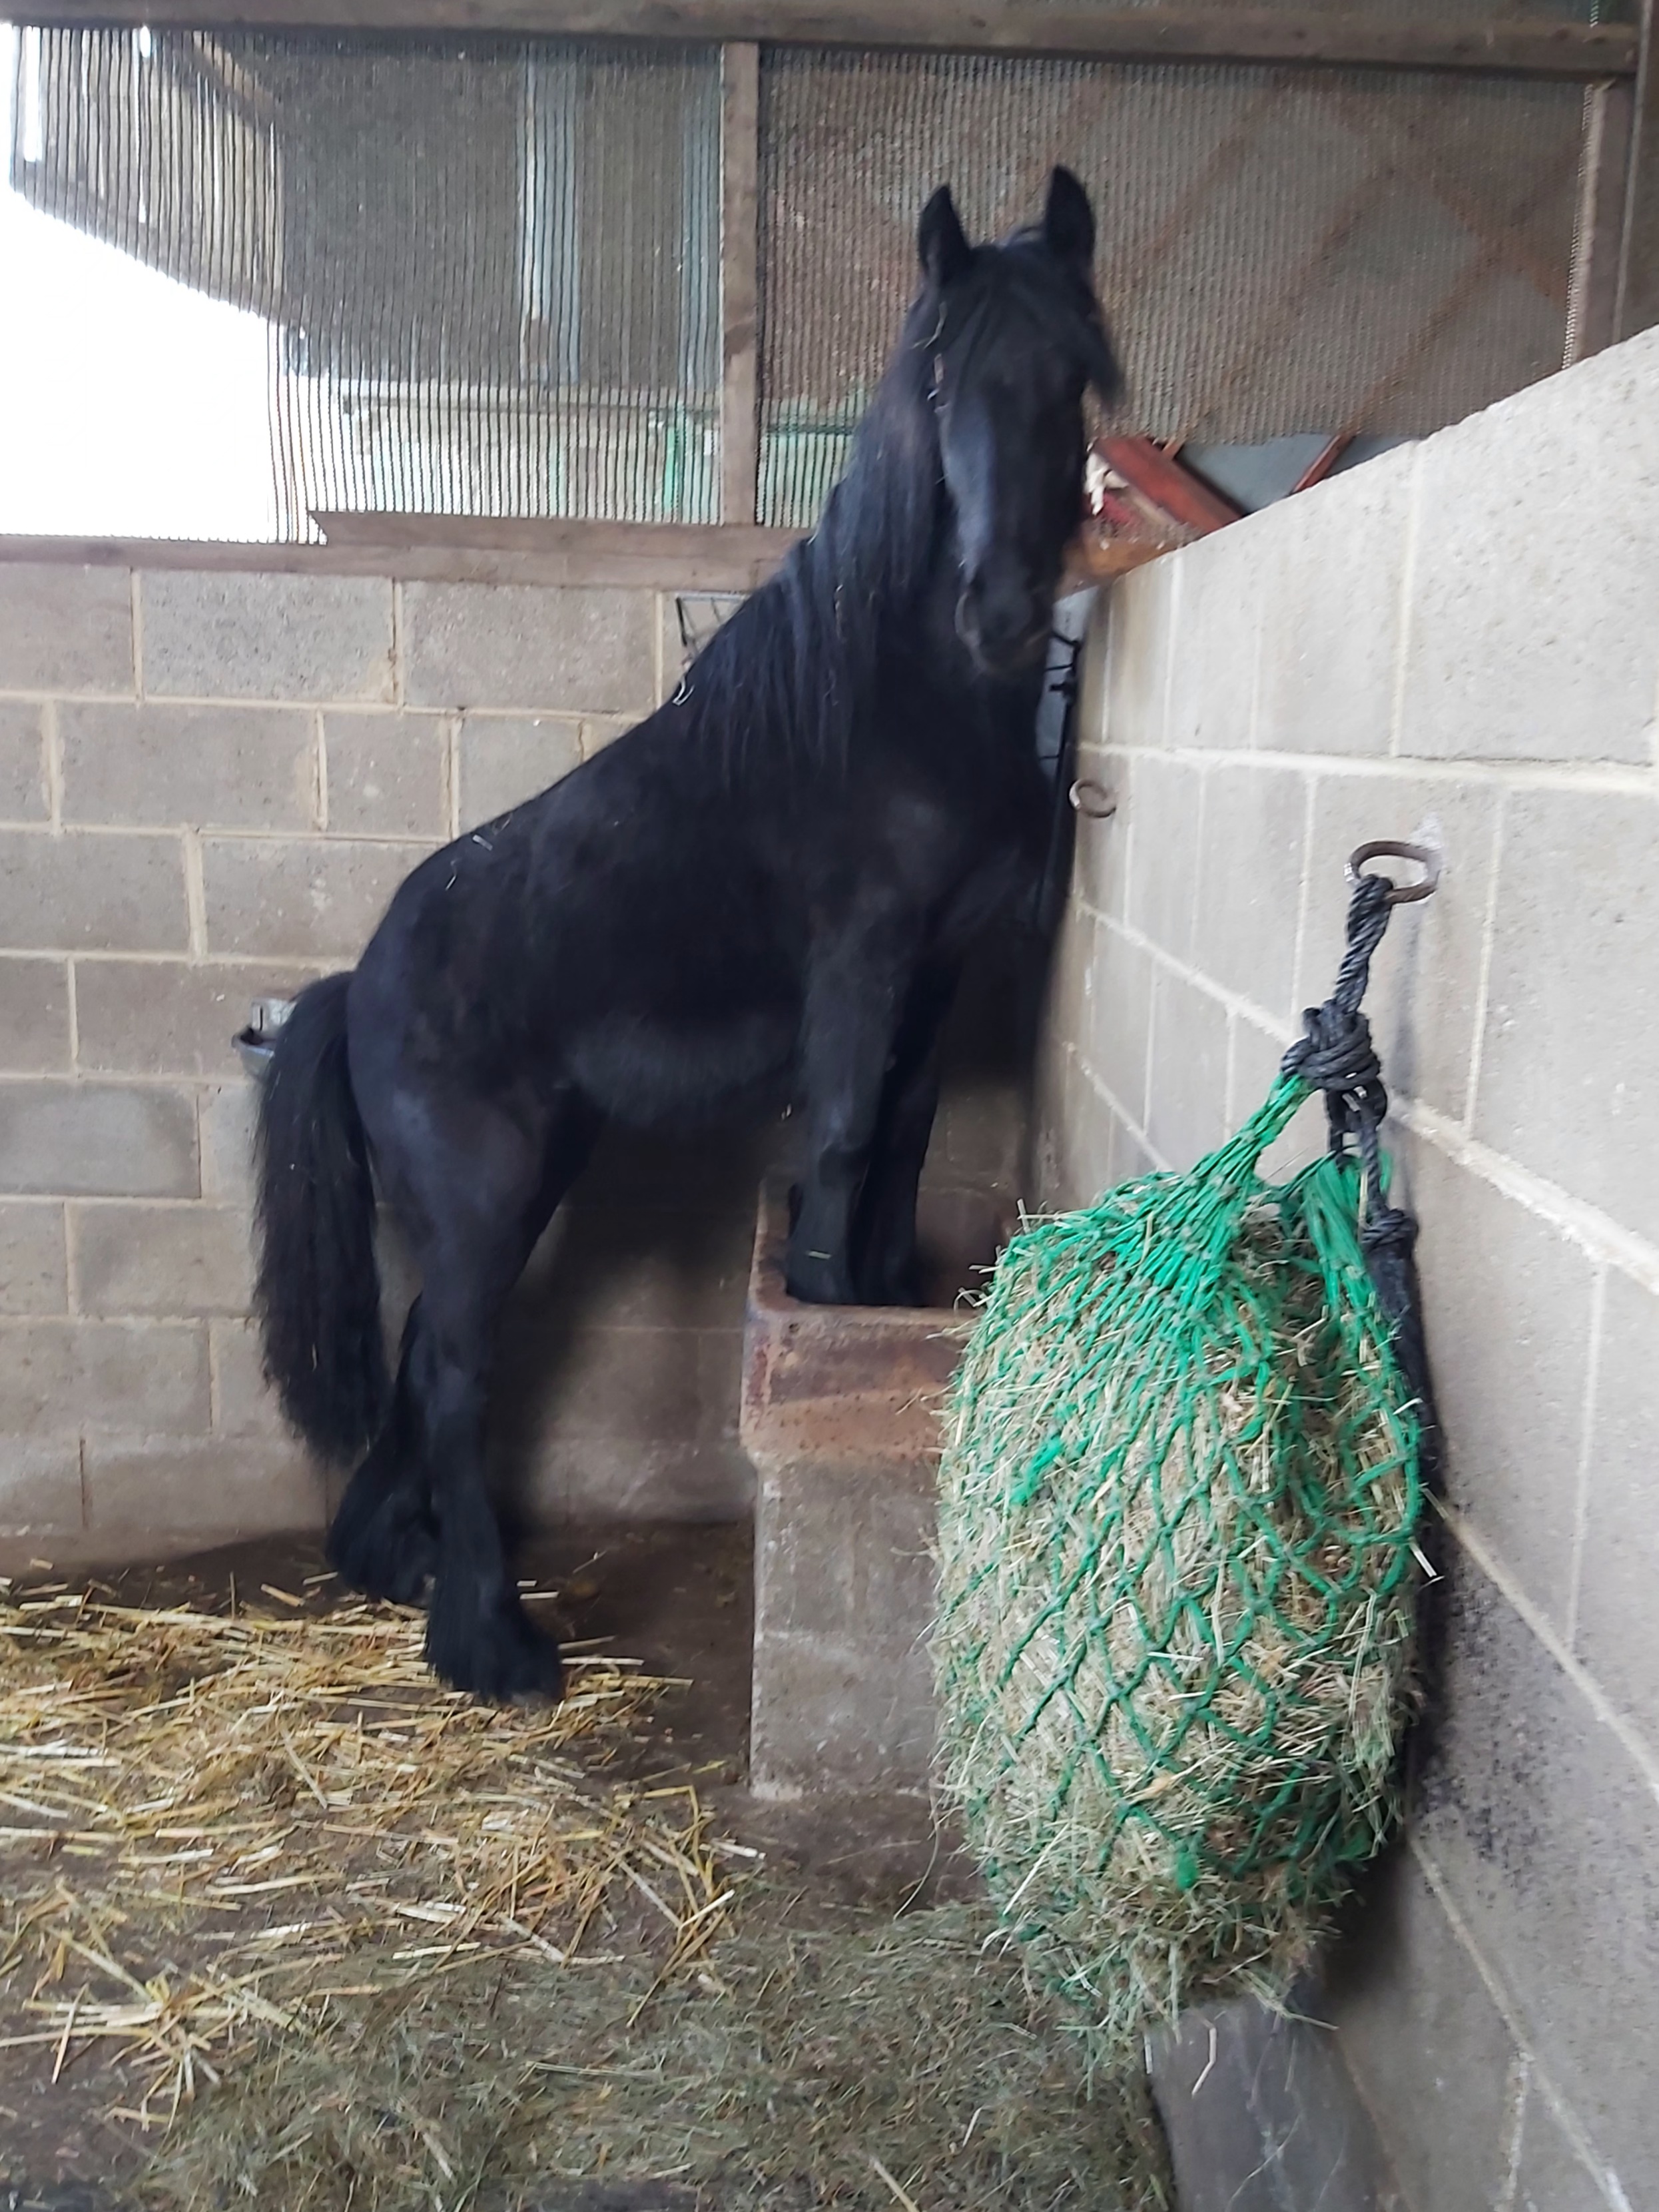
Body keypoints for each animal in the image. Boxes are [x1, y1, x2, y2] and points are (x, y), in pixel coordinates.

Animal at [253, 173, 1124, 1698]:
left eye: (1072, 378)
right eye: (942, 375)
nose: (1007, 610)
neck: (893, 708)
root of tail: (354, 983)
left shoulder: (937, 975)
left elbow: (903, 1136)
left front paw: (882, 1295)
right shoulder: (863, 965)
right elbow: (842, 1136)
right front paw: (826, 1307)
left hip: (528, 1178)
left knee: (428, 1355)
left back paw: (402, 1563)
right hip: (484, 1195)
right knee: (456, 1372)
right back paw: (492, 1641)